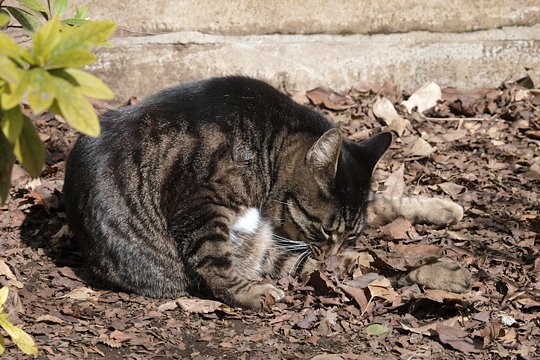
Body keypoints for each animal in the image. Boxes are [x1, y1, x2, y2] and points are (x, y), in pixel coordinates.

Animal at [63, 76, 466, 310]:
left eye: (351, 233)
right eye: (325, 230)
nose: (334, 252)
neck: (271, 145)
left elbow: (383, 202)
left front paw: (442, 208)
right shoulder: (199, 203)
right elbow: (216, 261)